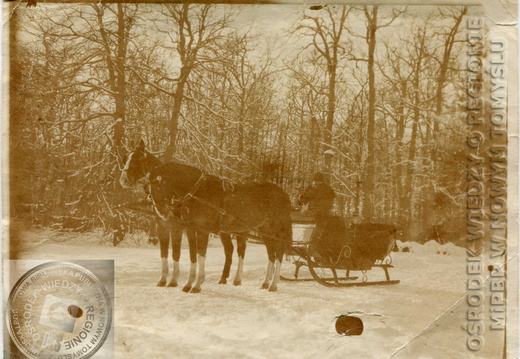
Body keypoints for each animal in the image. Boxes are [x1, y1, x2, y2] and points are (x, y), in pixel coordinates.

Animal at [120, 141, 294, 292]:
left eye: (137, 159)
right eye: (127, 157)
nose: (123, 180)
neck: (195, 192)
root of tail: (283, 193)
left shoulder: (195, 229)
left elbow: (196, 254)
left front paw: (194, 284)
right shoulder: (187, 229)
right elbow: (189, 255)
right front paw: (185, 283)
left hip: (275, 229)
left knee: (277, 252)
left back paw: (273, 284)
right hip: (263, 230)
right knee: (269, 253)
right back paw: (263, 282)